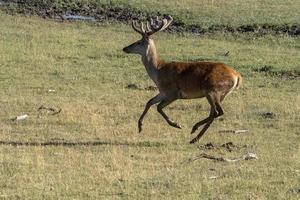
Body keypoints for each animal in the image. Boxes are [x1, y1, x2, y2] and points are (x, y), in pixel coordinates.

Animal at [122, 15, 241, 144]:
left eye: (138, 42)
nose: (125, 48)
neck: (158, 72)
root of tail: (237, 76)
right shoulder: (163, 92)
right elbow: (149, 102)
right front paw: (140, 126)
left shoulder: (174, 92)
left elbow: (158, 107)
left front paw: (176, 124)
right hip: (222, 94)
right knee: (214, 113)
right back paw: (195, 138)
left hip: (212, 89)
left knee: (217, 112)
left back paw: (194, 128)